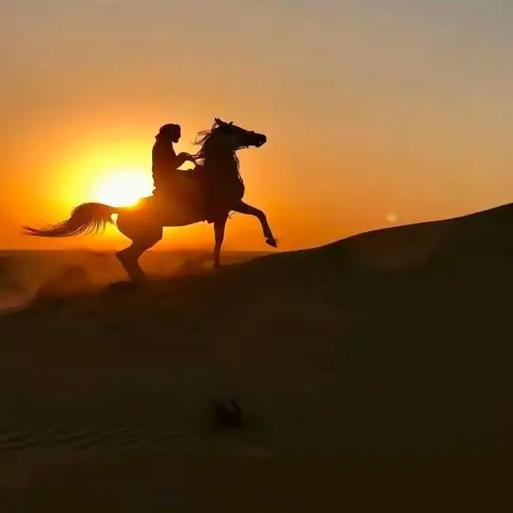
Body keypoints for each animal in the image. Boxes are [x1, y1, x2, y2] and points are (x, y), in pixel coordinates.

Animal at [25, 118, 276, 282]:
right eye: (236, 130)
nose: (261, 137)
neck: (218, 173)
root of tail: (120, 208)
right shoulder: (227, 208)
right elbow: (235, 229)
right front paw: (268, 242)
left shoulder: (227, 210)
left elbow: (245, 222)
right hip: (150, 236)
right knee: (125, 256)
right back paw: (143, 281)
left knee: (125, 256)